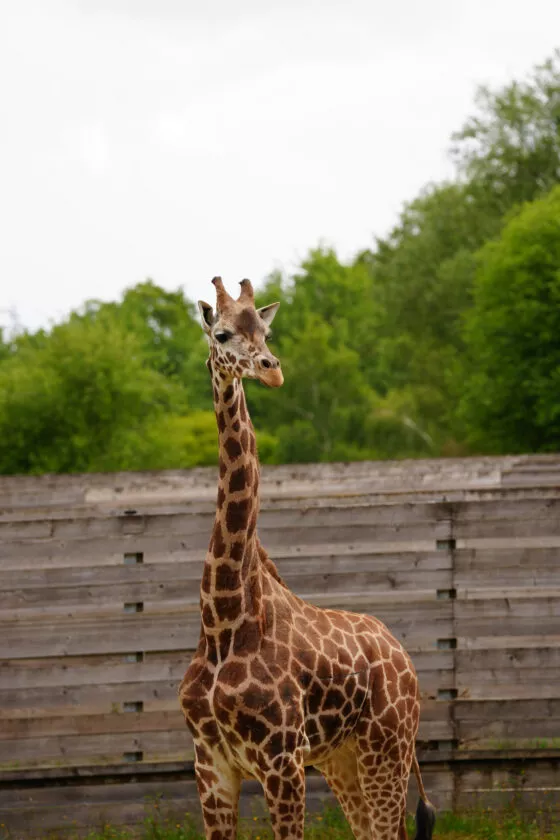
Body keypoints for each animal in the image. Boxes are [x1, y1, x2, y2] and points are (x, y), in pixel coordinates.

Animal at [179, 277, 436, 840]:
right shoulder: (210, 764)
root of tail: (403, 657)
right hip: (344, 760)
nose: (271, 369)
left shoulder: (282, 760)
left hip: (387, 750)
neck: (224, 622)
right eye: (223, 333)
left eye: (266, 330)